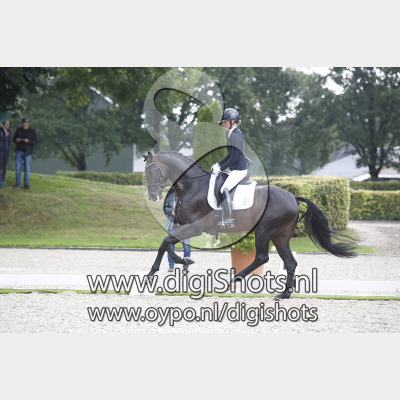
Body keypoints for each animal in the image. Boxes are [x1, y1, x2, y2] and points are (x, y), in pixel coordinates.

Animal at [142, 150, 357, 300]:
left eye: (152, 171)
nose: (152, 196)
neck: (193, 186)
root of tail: (293, 197)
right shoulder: (183, 226)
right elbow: (167, 243)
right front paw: (182, 260)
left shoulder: (194, 228)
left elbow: (165, 242)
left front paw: (152, 273)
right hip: (280, 236)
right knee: (290, 262)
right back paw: (284, 294)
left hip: (264, 230)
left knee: (262, 257)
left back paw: (232, 281)